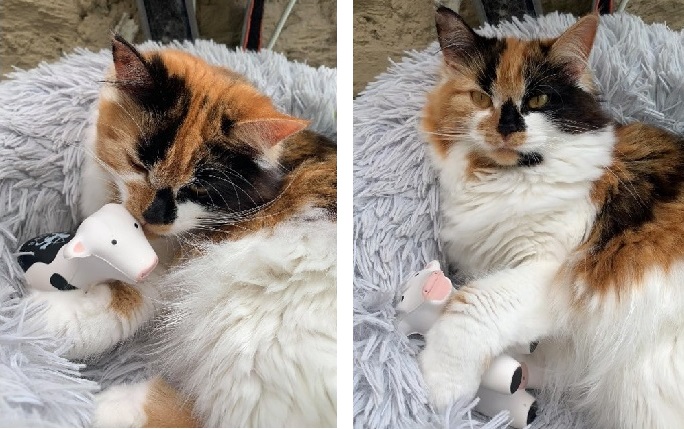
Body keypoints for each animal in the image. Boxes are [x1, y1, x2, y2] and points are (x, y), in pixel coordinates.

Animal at [26, 36, 336, 424]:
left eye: (198, 189)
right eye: (140, 164)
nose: (153, 217)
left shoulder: (162, 266)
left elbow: (118, 297)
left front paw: (38, 316)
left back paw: (107, 407)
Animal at [420, 7, 684, 428]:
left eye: (538, 99)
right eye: (481, 97)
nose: (507, 128)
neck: (504, 179)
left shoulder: (549, 271)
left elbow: (470, 304)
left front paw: (439, 387)